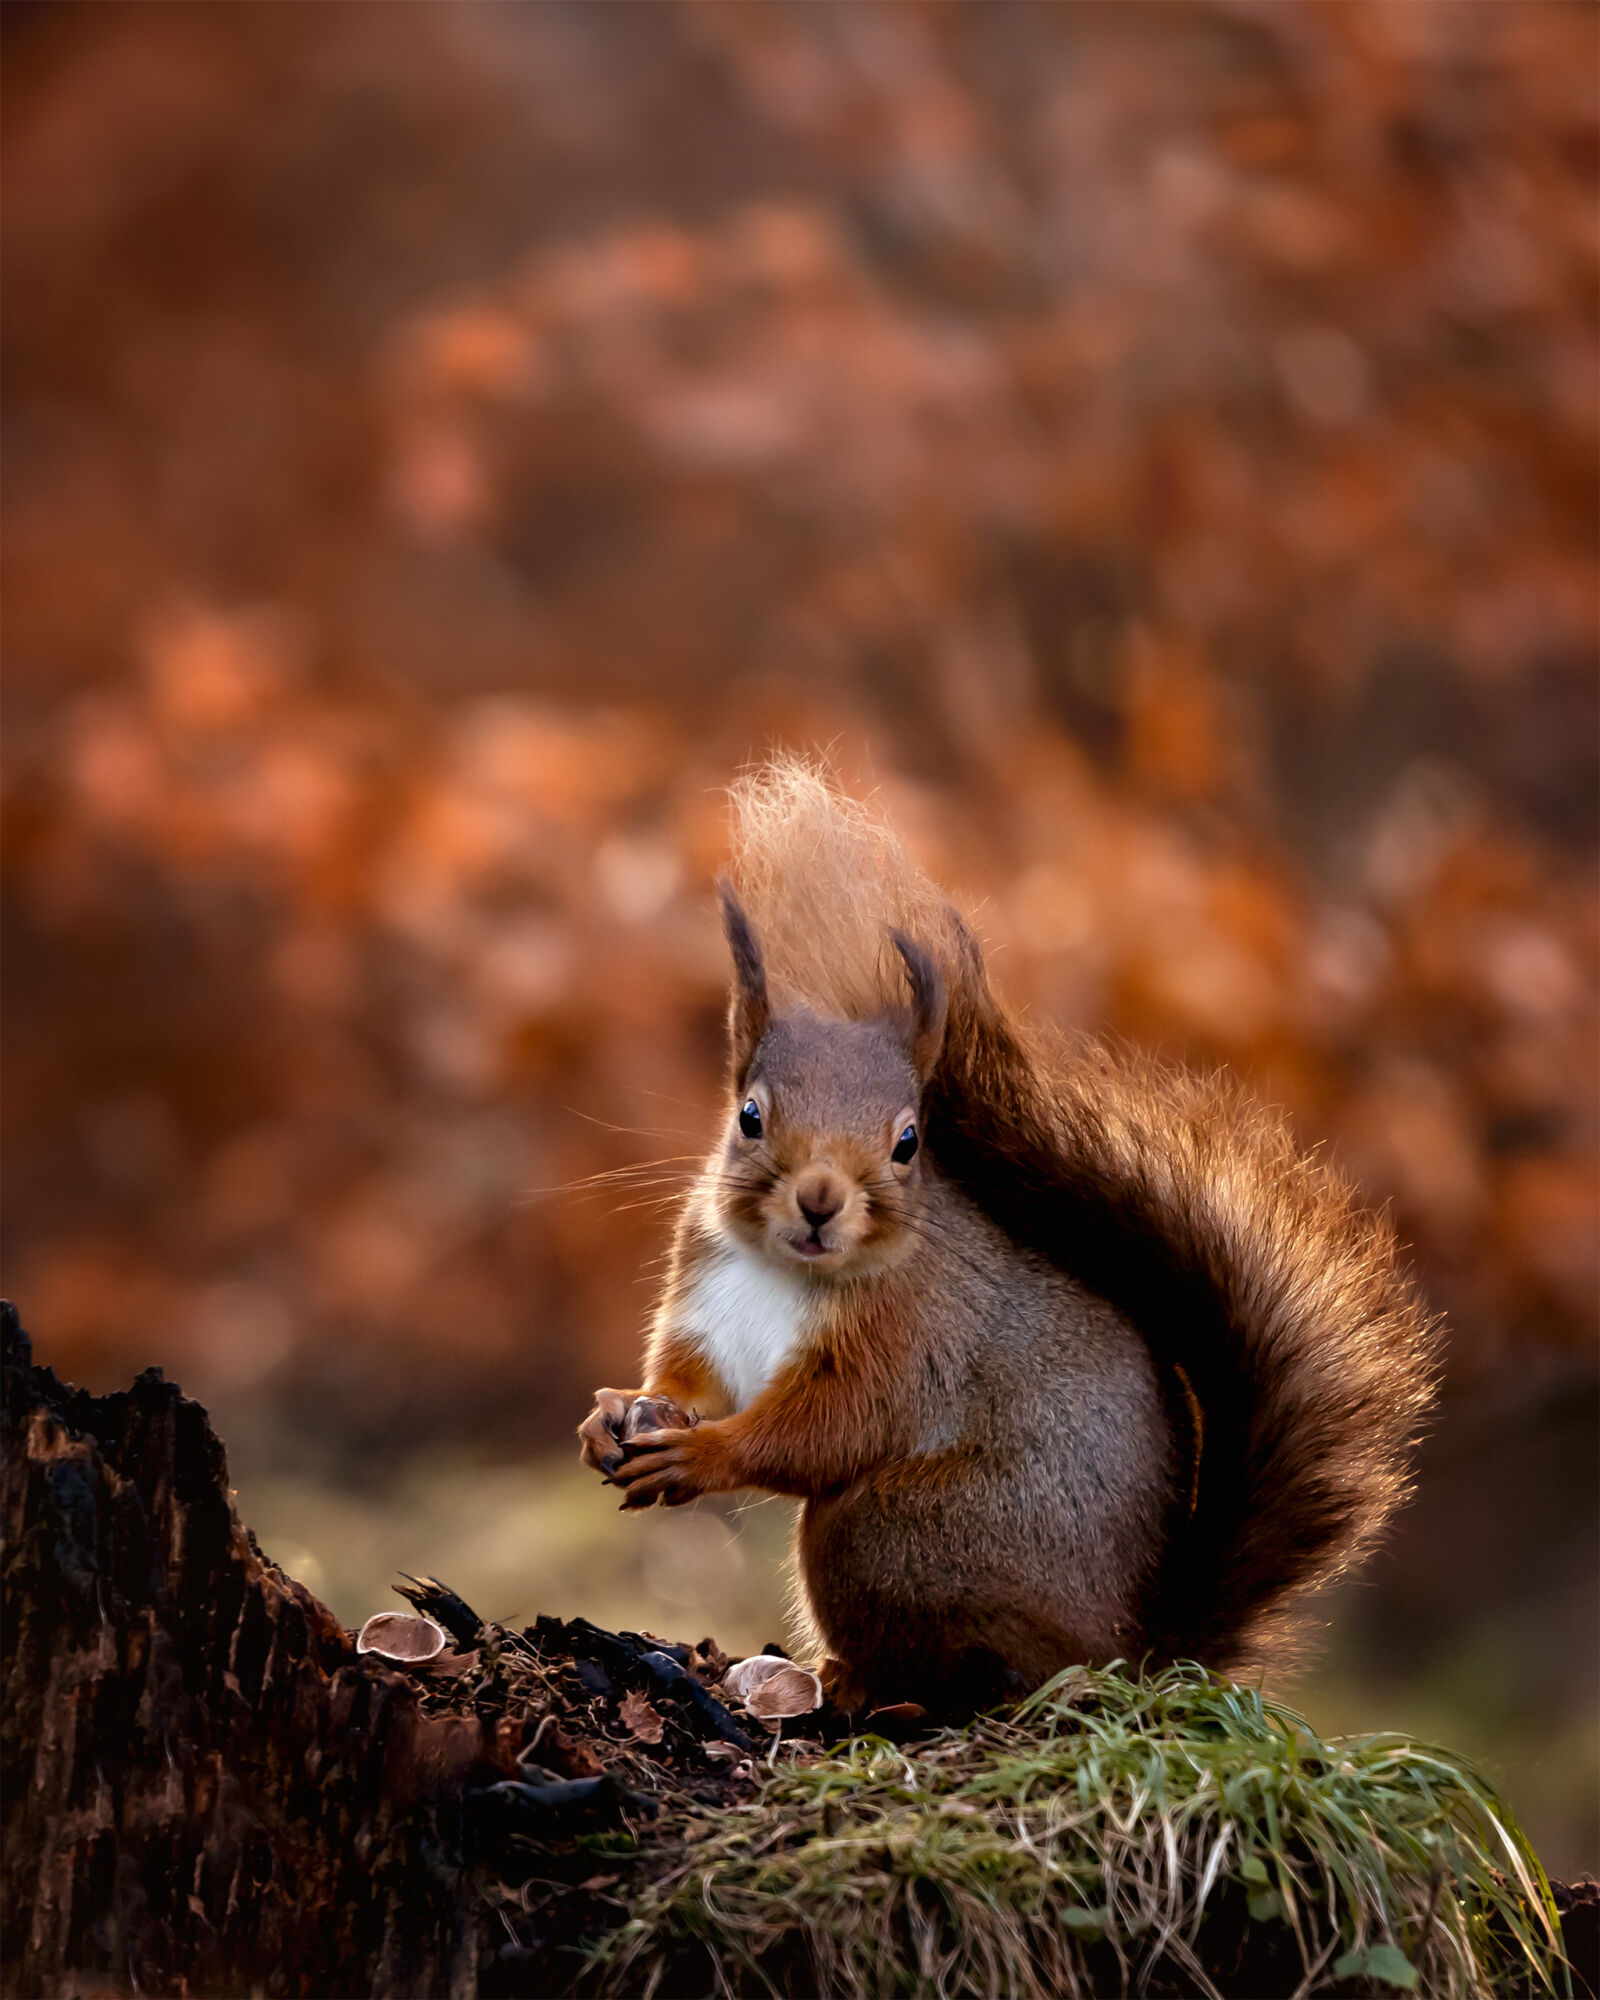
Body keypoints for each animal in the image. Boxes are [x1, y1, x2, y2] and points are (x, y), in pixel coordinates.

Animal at [578, 761, 1438, 1711]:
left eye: (909, 1141)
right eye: (750, 1116)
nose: (819, 1200)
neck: (782, 1272)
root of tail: (1131, 1650)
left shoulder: (909, 1336)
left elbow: (829, 1429)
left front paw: (702, 1455)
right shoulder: (707, 1293)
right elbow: (690, 1378)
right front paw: (615, 1414)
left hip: (893, 1535)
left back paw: (862, 1684)